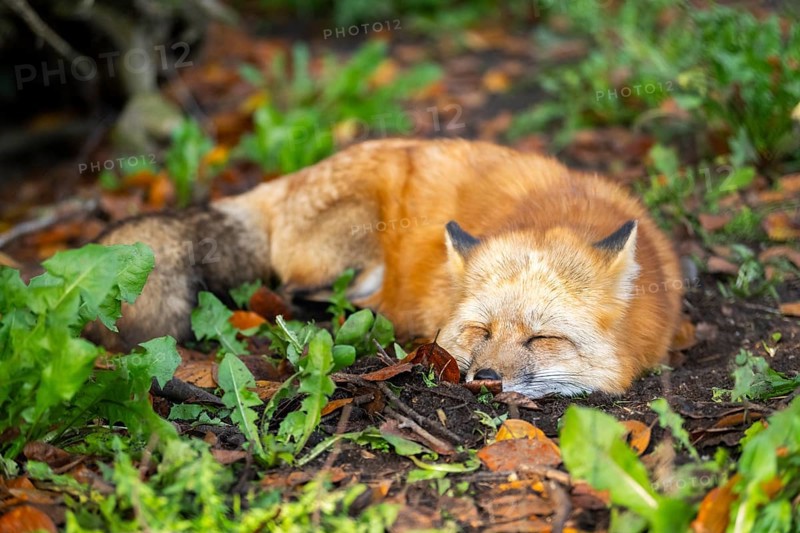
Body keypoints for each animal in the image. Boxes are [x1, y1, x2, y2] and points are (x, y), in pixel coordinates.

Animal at [91, 138, 683, 398]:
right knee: (296, 292)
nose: (485, 379)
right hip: (353, 248)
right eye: (483, 331)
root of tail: (286, 181)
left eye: (542, 338)